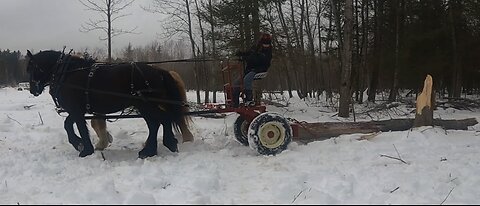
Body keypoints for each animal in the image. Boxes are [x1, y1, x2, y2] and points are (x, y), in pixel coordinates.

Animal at [26, 49, 191, 158]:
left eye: (30, 68)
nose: (33, 90)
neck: (67, 74)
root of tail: (159, 71)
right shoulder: (78, 110)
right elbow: (70, 125)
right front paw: (82, 144)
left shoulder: (76, 110)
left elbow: (75, 127)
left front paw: (84, 148)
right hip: (144, 106)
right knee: (156, 123)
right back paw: (150, 150)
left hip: (145, 105)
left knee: (162, 120)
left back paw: (166, 144)